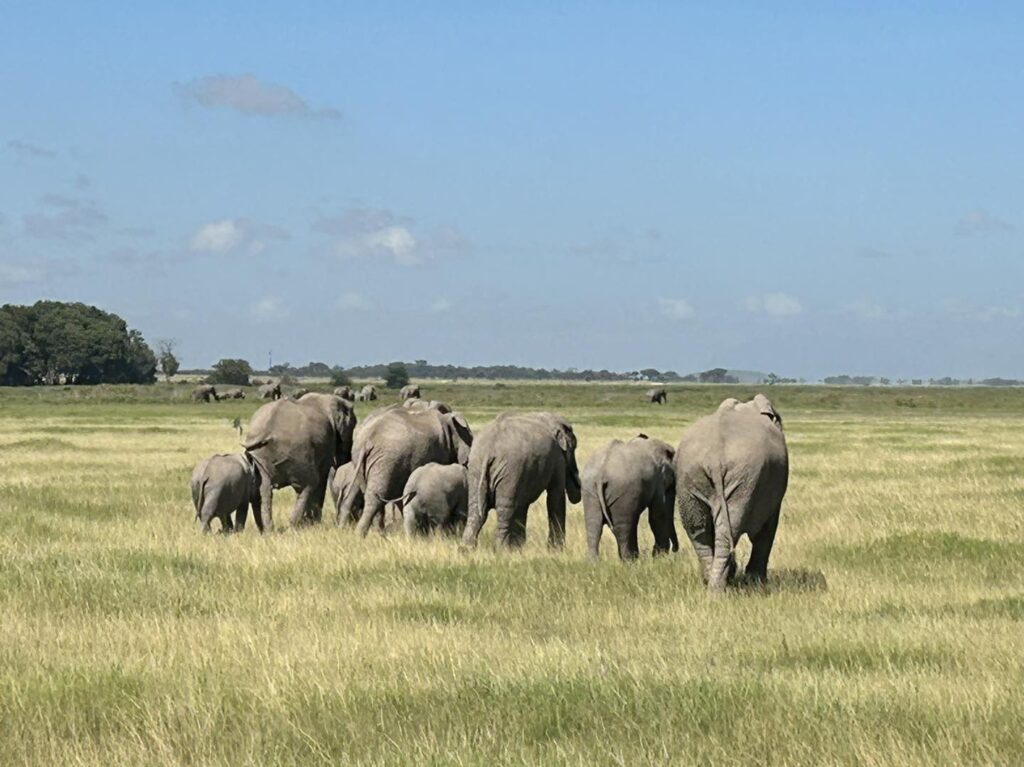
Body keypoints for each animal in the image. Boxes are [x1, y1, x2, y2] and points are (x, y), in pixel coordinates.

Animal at [242, 391, 356, 528]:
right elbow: (322, 478)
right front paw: (314, 524)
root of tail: (266, 431)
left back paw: (269, 529)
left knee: (264, 489)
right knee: (308, 484)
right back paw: (294, 526)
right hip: (297, 453)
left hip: (259, 455)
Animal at [339, 403, 475, 536]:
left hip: (363, 461)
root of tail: (367, 441)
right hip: (388, 461)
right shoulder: (442, 450)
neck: (446, 418)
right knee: (376, 498)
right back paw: (365, 535)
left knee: (373, 496)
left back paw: (375, 535)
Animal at [460, 413, 581, 548]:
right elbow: (556, 497)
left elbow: (522, 505)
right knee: (505, 511)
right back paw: (501, 549)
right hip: (510, 470)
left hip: (475, 469)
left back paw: (466, 548)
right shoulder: (557, 458)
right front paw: (556, 550)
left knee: (475, 511)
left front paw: (518, 548)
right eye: (574, 448)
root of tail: (488, 452)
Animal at [581, 430, 675, 561]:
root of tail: (601, 475)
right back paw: (629, 562)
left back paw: (594, 562)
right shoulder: (658, 481)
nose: (675, 550)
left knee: (594, 526)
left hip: (589, 490)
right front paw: (659, 558)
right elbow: (657, 516)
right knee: (623, 527)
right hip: (621, 491)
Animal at [675, 391, 786, 589]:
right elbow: (767, 528)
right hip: (744, 482)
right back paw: (718, 589)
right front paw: (757, 581)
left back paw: (710, 582)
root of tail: (714, 458)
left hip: (689, 478)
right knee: (728, 531)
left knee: (698, 531)